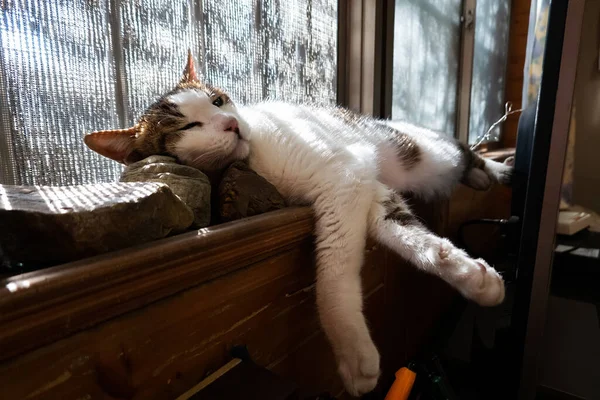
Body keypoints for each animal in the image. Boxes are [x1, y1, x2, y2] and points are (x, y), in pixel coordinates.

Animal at [84, 50, 510, 396]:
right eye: (188, 127)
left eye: (218, 100)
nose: (229, 124)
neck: (253, 161)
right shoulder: (361, 188)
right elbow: (411, 237)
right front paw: (472, 275)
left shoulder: (344, 178)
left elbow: (333, 273)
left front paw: (353, 352)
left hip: (428, 153)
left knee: (463, 151)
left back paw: (495, 170)